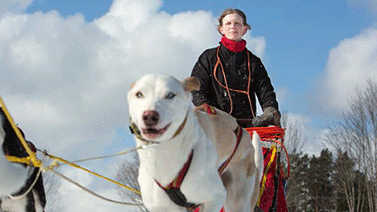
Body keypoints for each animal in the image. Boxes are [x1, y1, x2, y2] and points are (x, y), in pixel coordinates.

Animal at [126, 73, 262, 211]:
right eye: (139, 94)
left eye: (170, 95)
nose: (149, 115)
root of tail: (242, 131)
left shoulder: (215, 197)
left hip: (239, 200)